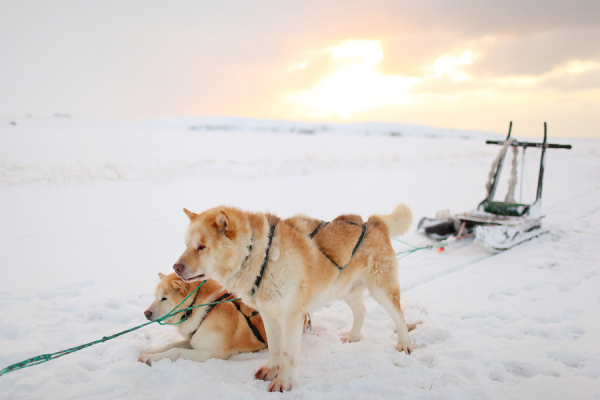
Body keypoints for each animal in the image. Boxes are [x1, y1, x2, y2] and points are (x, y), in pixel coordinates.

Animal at [173, 205, 412, 392]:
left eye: (201, 246)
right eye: (186, 245)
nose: (176, 267)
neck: (260, 256)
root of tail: (374, 221)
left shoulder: (291, 317)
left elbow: (288, 353)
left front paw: (283, 383)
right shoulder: (268, 315)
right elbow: (274, 348)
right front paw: (271, 370)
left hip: (381, 289)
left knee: (400, 317)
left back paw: (405, 344)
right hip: (344, 289)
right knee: (361, 311)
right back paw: (353, 336)